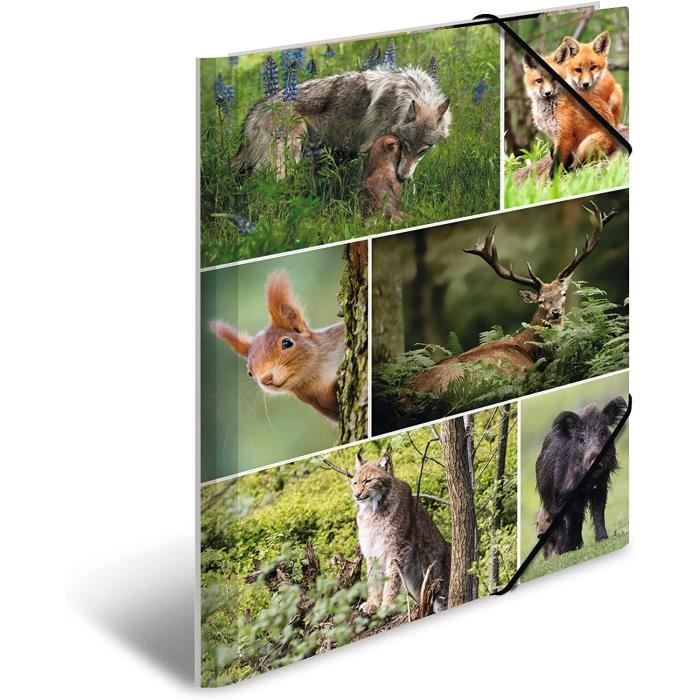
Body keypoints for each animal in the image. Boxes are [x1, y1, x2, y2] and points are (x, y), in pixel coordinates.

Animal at [235, 66, 451, 181]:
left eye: (423, 151)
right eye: (406, 145)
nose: (403, 178)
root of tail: (256, 108)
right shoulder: (370, 147)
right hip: (284, 163)